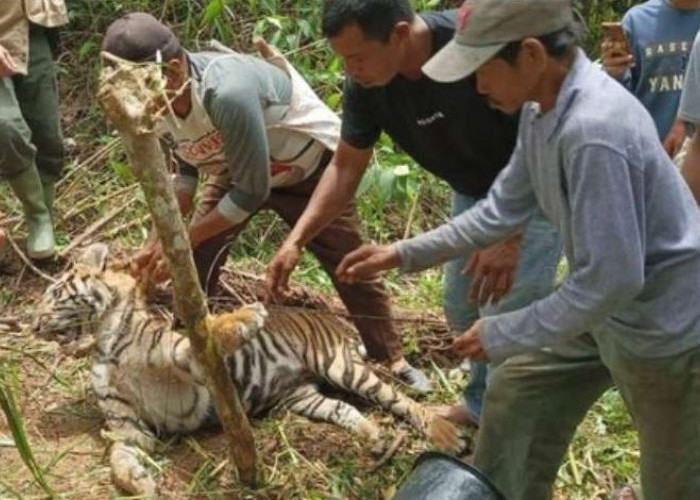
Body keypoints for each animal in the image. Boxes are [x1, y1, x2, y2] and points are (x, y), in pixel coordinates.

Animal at [32, 243, 462, 496]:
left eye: (53, 293)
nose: (31, 323)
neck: (104, 341)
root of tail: (332, 320)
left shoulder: (185, 360)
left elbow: (202, 335)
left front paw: (246, 317)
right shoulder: (129, 428)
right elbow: (118, 456)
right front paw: (136, 481)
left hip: (340, 366)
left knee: (399, 399)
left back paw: (445, 434)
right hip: (300, 397)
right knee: (344, 408)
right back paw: (373, 437)